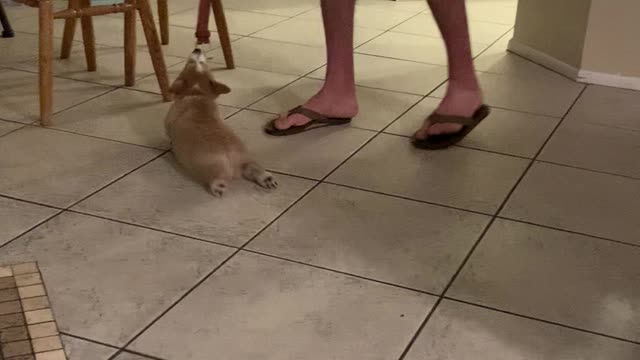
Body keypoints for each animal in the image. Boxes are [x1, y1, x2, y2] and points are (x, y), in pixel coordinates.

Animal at [164, 48, 276, 197]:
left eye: (190, 62)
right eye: (202, 62)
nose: (197, 49)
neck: (197, 93)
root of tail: (233, 162)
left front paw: (171, 145)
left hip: (212, 172)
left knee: (217, 181)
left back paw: (218, 189)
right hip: (247, 159)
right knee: (255, 168)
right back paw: (266, 178)